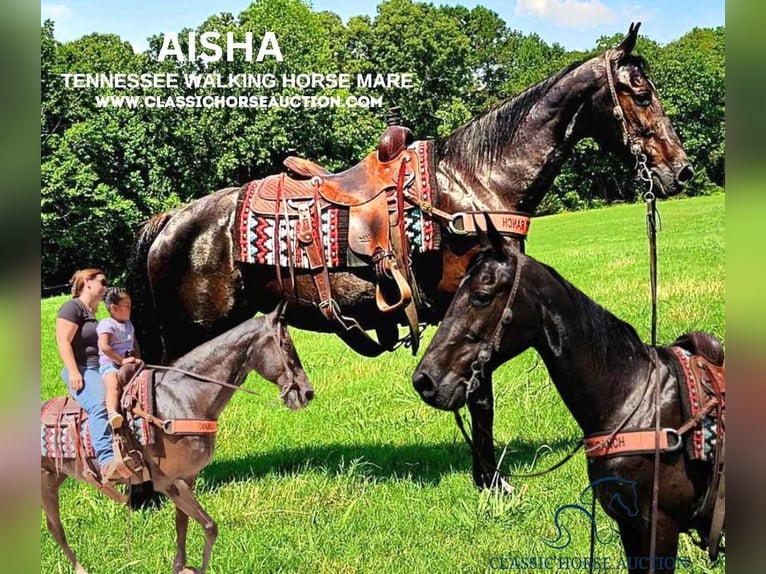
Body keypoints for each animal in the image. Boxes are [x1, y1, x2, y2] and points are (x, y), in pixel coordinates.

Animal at [38, 310, 316, 574]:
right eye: (286, 345)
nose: (307, 393)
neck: (184, 399)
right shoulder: (168, 482)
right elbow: (210, 525)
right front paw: (195, 567)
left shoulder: (187, 478)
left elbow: (183, 525)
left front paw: (181, 565)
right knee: (55, 528)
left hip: (53, 479)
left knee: (54, 528)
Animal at [129, 22, 692, 490]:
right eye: (641, 93)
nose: (682, 171)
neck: (474, 185)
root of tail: (169, 221)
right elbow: (480, 398)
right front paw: (491, 483)